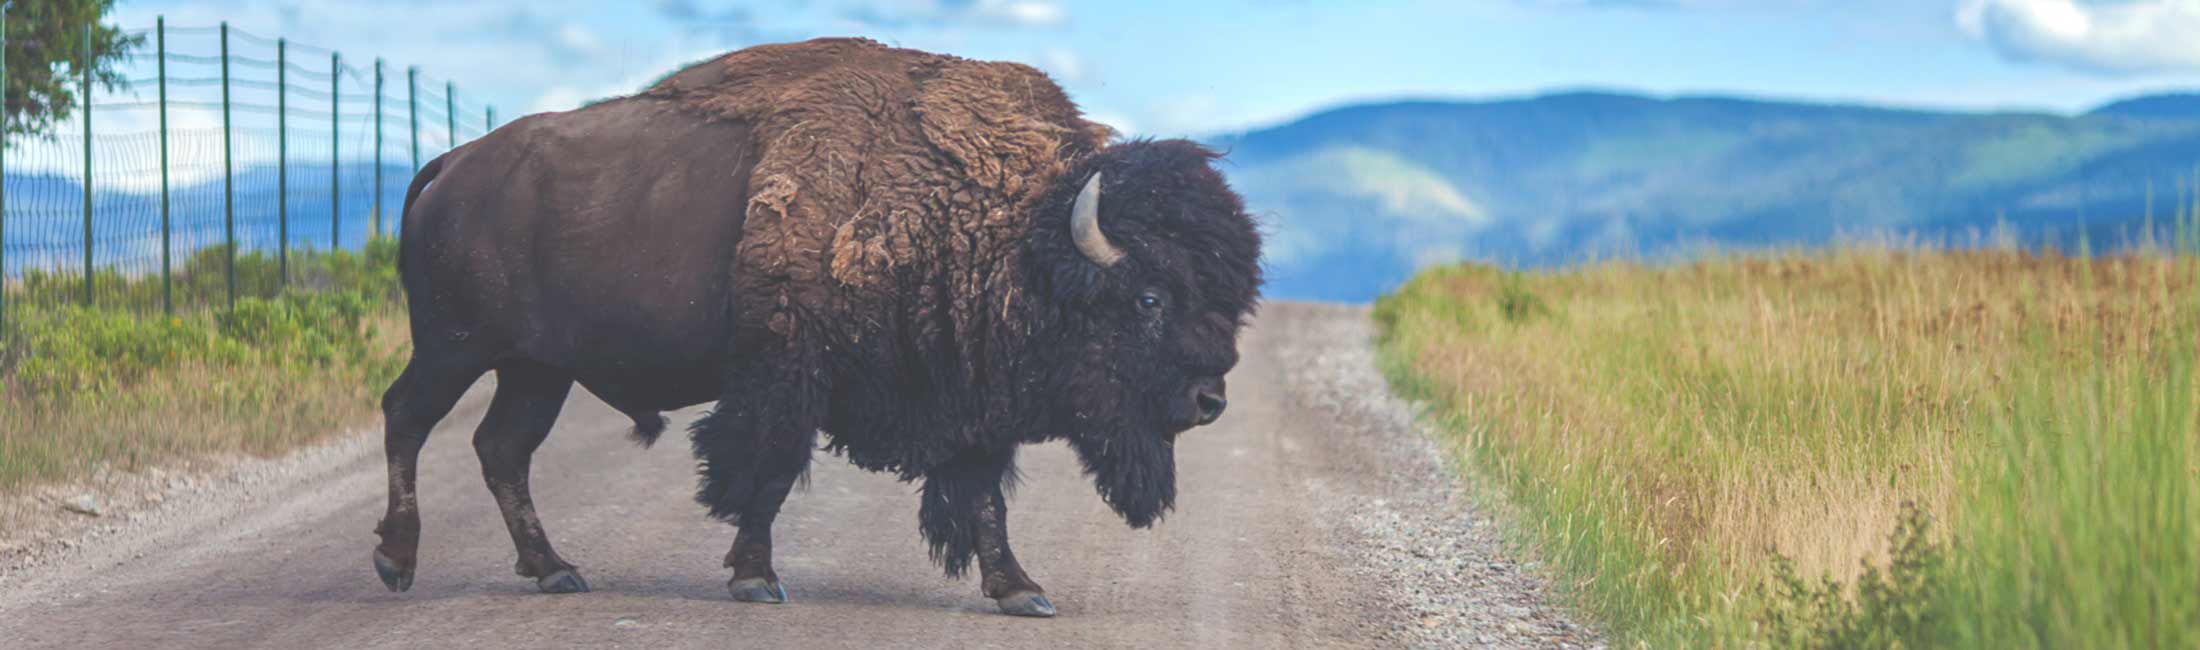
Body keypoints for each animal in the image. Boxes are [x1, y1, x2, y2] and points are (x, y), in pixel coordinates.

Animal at [369, 38, 1262, 617]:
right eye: (1149, 299)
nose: (1210, 400)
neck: (1009, 232)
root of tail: (451, 165)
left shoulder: (969, 404)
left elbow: (983, 498)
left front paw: (1021, 591)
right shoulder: (788, 376)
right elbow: (764, 476)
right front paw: (756, 580)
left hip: (536, 368)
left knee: (501, 449)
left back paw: (554, 569)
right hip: (456, 347)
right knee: (408, 418)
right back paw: (397, 562)